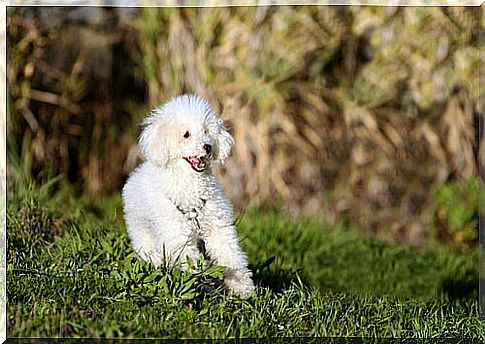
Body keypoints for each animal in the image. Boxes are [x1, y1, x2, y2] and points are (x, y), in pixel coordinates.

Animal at [121, 94, 255, 298]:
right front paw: (203, 280)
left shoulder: (218, 228)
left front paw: (241, 286)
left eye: (206, 131)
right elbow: (192, 262)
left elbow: (231, 256)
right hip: (141, 229)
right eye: (186, 134)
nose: (208, 146)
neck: (191, 185)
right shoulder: (177, 236)